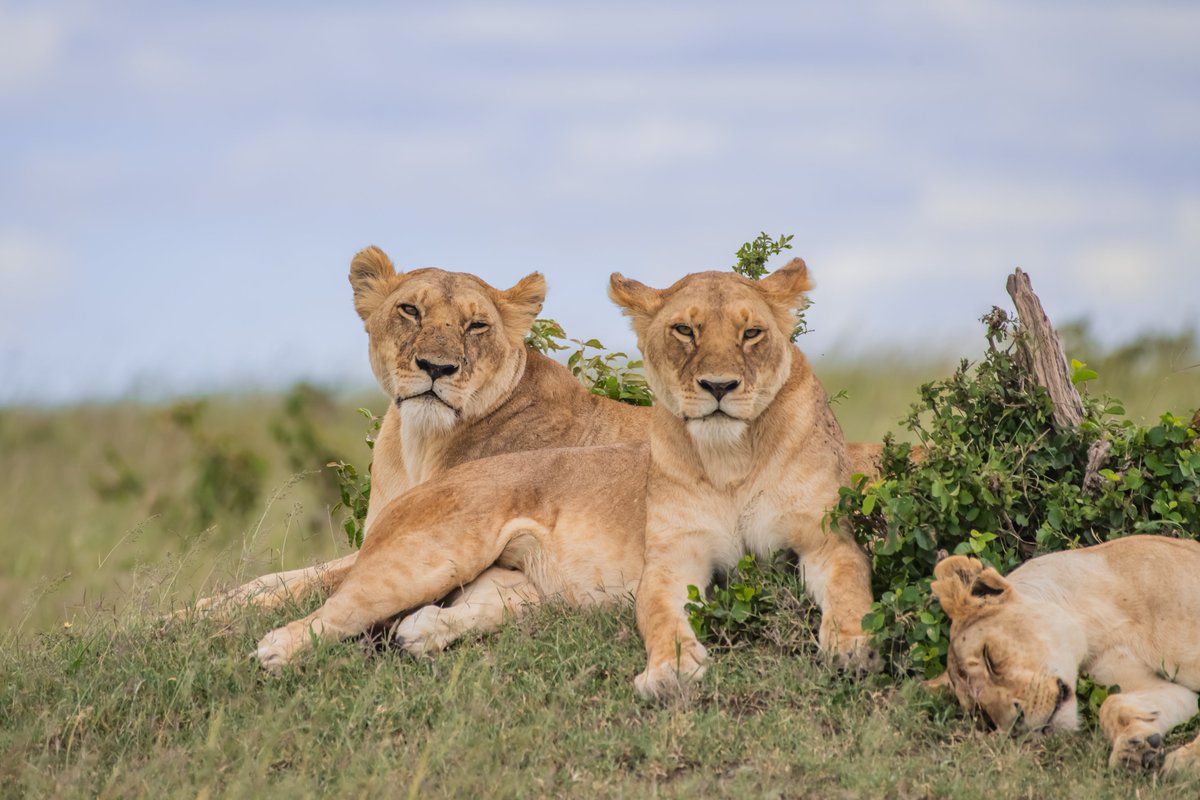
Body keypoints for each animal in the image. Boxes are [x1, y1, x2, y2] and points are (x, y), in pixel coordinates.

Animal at [607, 260, 879, 701]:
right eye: (685, 330)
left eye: (751, 333)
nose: (719, 386)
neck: (729, 458)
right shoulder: (674, 557)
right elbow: (657, 613)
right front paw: (669, 670)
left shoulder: (823, 539)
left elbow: (849, 585)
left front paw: (854, 647)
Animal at [932, 535, 1200, 776]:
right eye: (984, 715)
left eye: (989, 658)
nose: (1016, 725)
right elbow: (1112, 704)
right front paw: (1133, 748)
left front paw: (1186, 762)